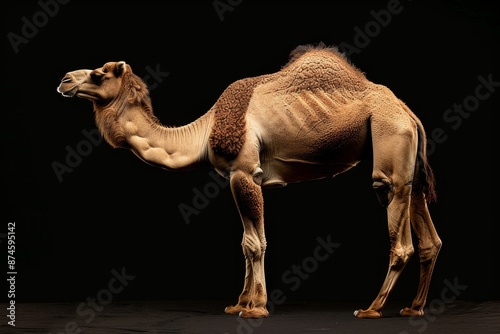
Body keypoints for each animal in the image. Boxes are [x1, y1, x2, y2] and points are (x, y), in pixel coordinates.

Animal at [57, 43, 442, 320]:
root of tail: (409, 113)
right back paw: (413, 308)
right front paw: (239, 303)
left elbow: (255, 243)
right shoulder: (236, 176)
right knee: (429, 237)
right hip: (410, 166)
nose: (64, 80)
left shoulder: (244, 171)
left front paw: (256, 307)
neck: (203, 132)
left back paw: (372, 308)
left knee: (400, 234)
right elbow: (246, 242)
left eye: (98, 74)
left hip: (390, 147)